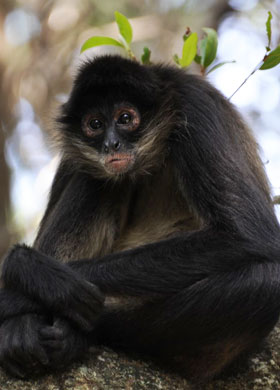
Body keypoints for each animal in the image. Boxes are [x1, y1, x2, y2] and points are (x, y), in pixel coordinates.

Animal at [0, 55, 280, 380]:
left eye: (125, 118)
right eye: (95, 124)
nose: (111, 145)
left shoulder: (195, 106)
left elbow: (248, 234)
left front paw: (36, 278)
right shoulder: (77, 151)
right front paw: (36, 287)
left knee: (265, 281)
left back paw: (81, 332)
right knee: (97, 179)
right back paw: (26, 329)